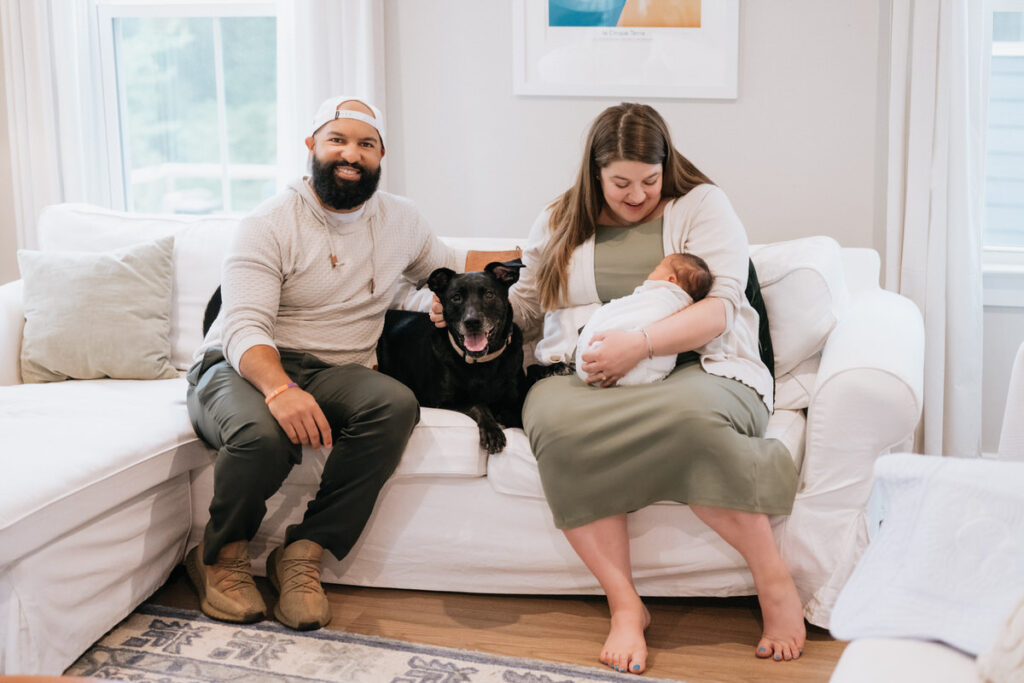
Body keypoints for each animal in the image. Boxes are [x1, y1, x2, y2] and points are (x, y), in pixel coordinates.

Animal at [376, 262, 524, 454]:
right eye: (456, 298)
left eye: (489, 294)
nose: (472, 322)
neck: (481, 364)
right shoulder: (442, 403)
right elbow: (478, 404)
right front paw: (492, 430)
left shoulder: (515, 404)